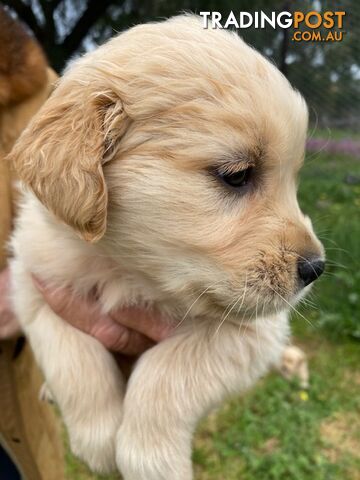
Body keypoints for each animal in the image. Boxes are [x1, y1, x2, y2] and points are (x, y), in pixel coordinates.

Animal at [8, 15, 324, 480]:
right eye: (236, 175)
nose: (316, 268)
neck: (125, 268)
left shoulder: (255, 333)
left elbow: (167, 371)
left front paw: (150, 459)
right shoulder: (36, 286)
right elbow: (72, 357)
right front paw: (97, 439)